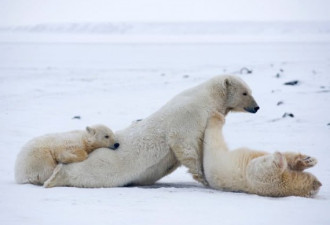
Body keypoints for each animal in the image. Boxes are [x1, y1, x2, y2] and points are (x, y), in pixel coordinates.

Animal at [44, 74, 260, 187]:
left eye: (250, 91)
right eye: (245, 92)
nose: (257, 107)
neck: (207, 98)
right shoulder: (188, 115)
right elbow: (185, 144)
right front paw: (203, 177)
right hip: (105, 166)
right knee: (86, 174)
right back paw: (54, 178)